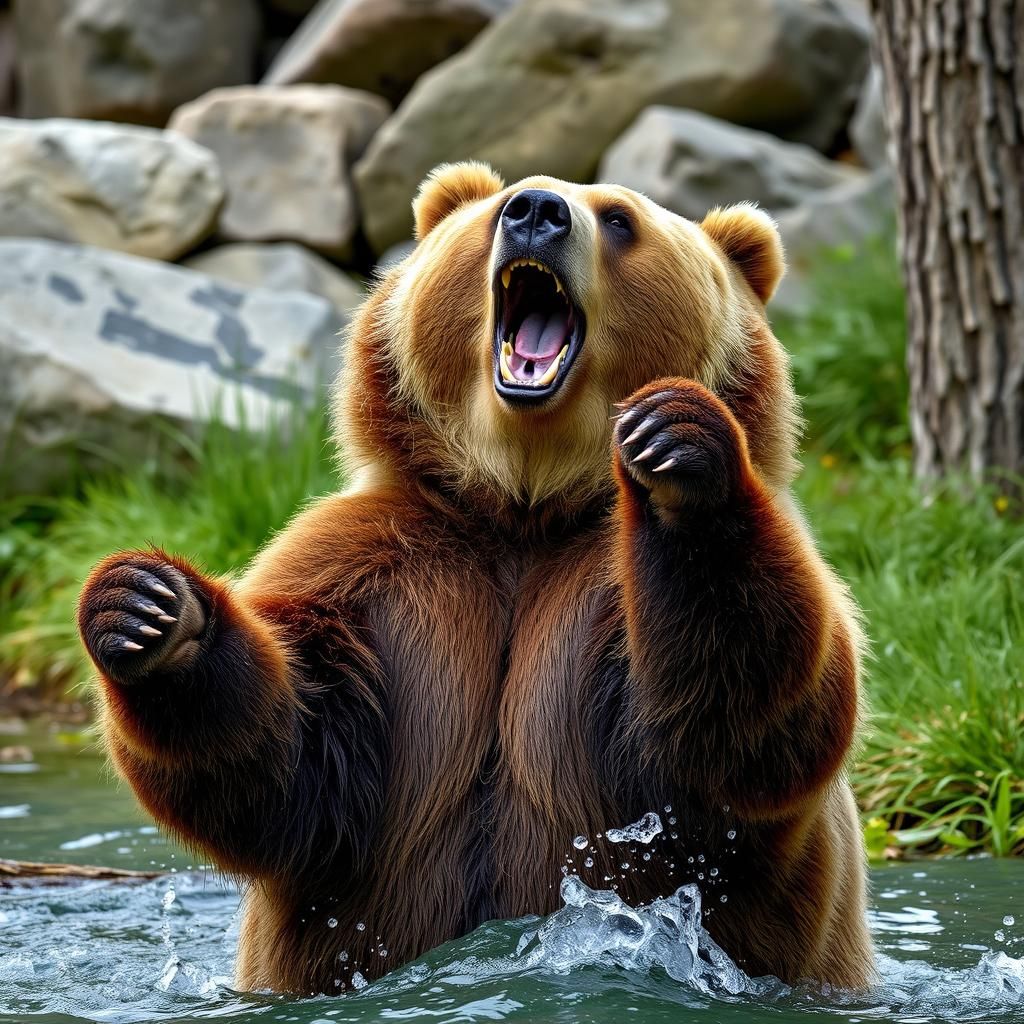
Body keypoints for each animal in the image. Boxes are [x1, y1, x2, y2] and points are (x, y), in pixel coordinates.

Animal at [77, 162, 873, 995]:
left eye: (620, 219)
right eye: (504, 204)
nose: (538, 213)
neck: (525, 503)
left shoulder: (609, 600)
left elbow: (742, 726)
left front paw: (677, 450)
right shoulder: (378, 571)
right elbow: (292, 764)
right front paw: (149, 612)